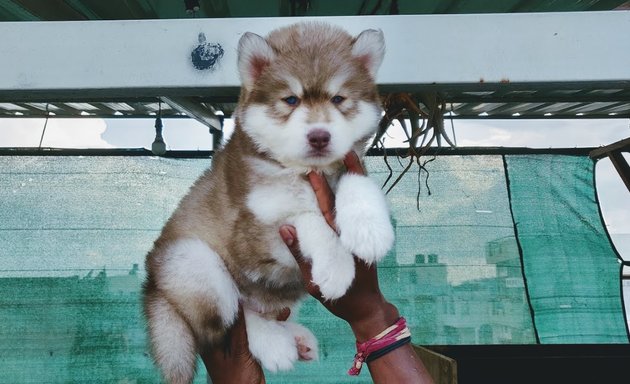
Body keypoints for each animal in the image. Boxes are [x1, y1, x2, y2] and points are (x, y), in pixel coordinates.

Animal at [144, 22, 396, 382]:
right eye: (290, 99)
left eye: (338, 99)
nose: (319, 136)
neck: (302, 171)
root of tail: (153, 290)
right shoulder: (252, 235)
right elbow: (308, 217)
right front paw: (336, 266)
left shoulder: (348, 164)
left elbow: (355, 180)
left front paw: (370, 229)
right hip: (191, 261)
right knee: (229, 321)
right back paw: (274, 344)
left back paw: (297, 338)